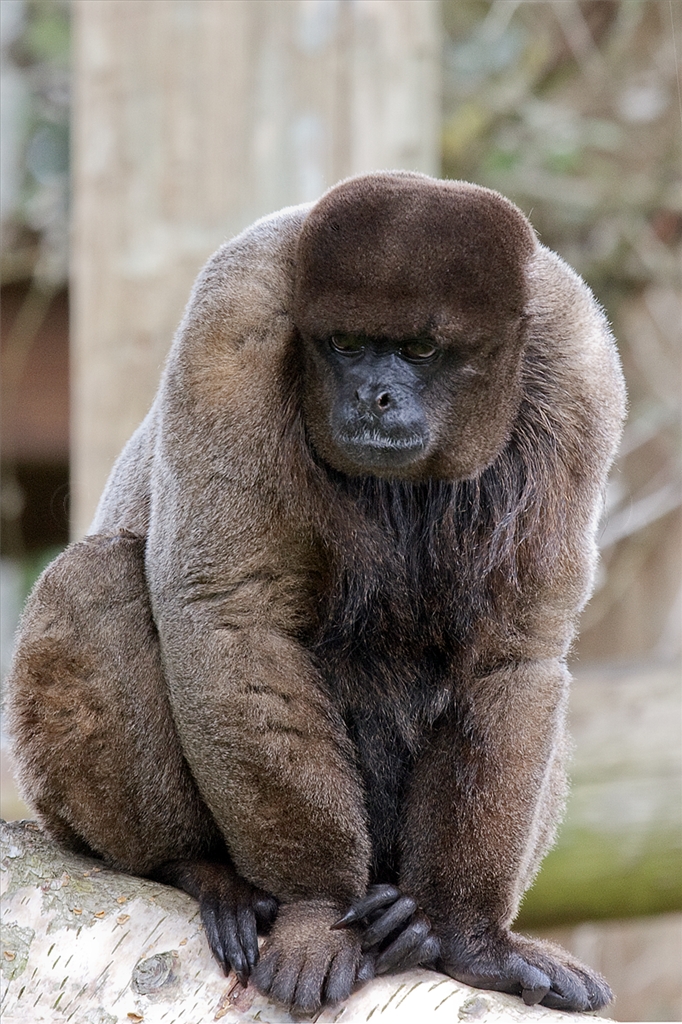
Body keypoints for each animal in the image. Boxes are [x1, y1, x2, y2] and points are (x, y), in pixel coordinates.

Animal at [7, 172, 626, 1015]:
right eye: (347, 346)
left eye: (420, 350)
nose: (374, 397)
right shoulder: (232, 323)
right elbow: (232, 614)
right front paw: (316, 913)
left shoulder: (580, 370)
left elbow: (515, 654)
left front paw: (471, 942)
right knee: (92, 578)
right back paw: (197, 870)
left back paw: (413, 929)